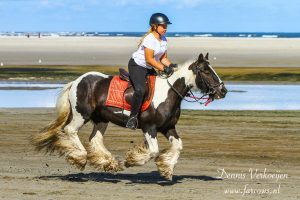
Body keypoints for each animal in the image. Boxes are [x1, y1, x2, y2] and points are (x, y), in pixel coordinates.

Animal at [31, 52, 227, 180]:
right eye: (206, 71)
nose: (223, 91)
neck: (168, 93)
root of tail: (77, 81)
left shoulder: (168, 128)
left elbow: (178, 146)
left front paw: (166, 169)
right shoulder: (150, 128)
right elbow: (153, 151)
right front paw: (131, 161)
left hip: (102, 119)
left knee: (95, 139)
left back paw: (109, 163)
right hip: (82, 115)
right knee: (70, 130)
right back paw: (80, 157)